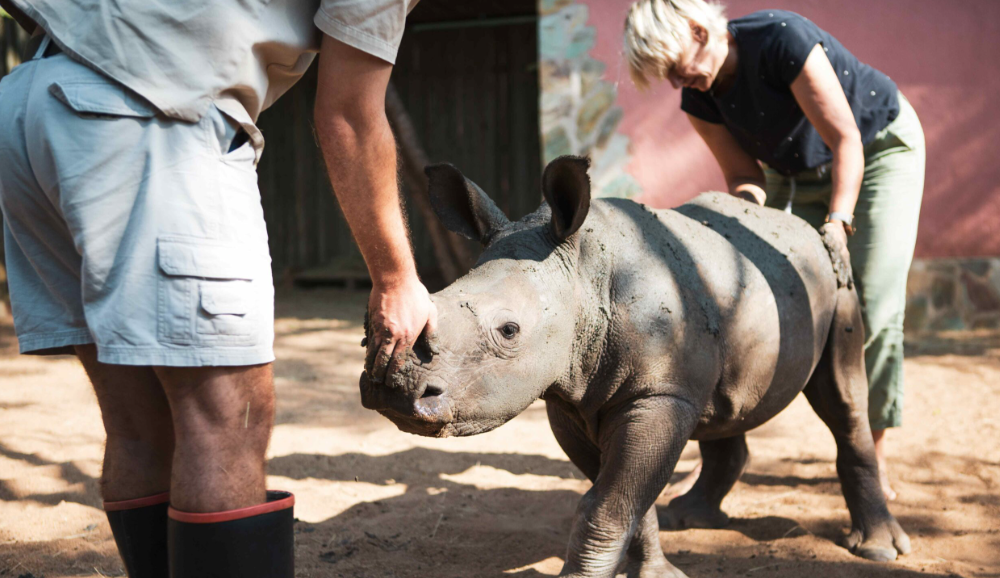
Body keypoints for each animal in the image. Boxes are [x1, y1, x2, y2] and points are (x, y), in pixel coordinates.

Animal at [359, 156, 910, 578]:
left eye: (509, 330)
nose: (394, 386)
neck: (584, 273)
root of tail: (796, 222)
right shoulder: (572, 399)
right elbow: (623, 500)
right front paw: (655, 570)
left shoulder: (658, 393)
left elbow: (607, 503)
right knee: (723, 402)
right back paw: (692, 516)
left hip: (837, 284)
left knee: (843, 399)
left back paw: (878, 549)